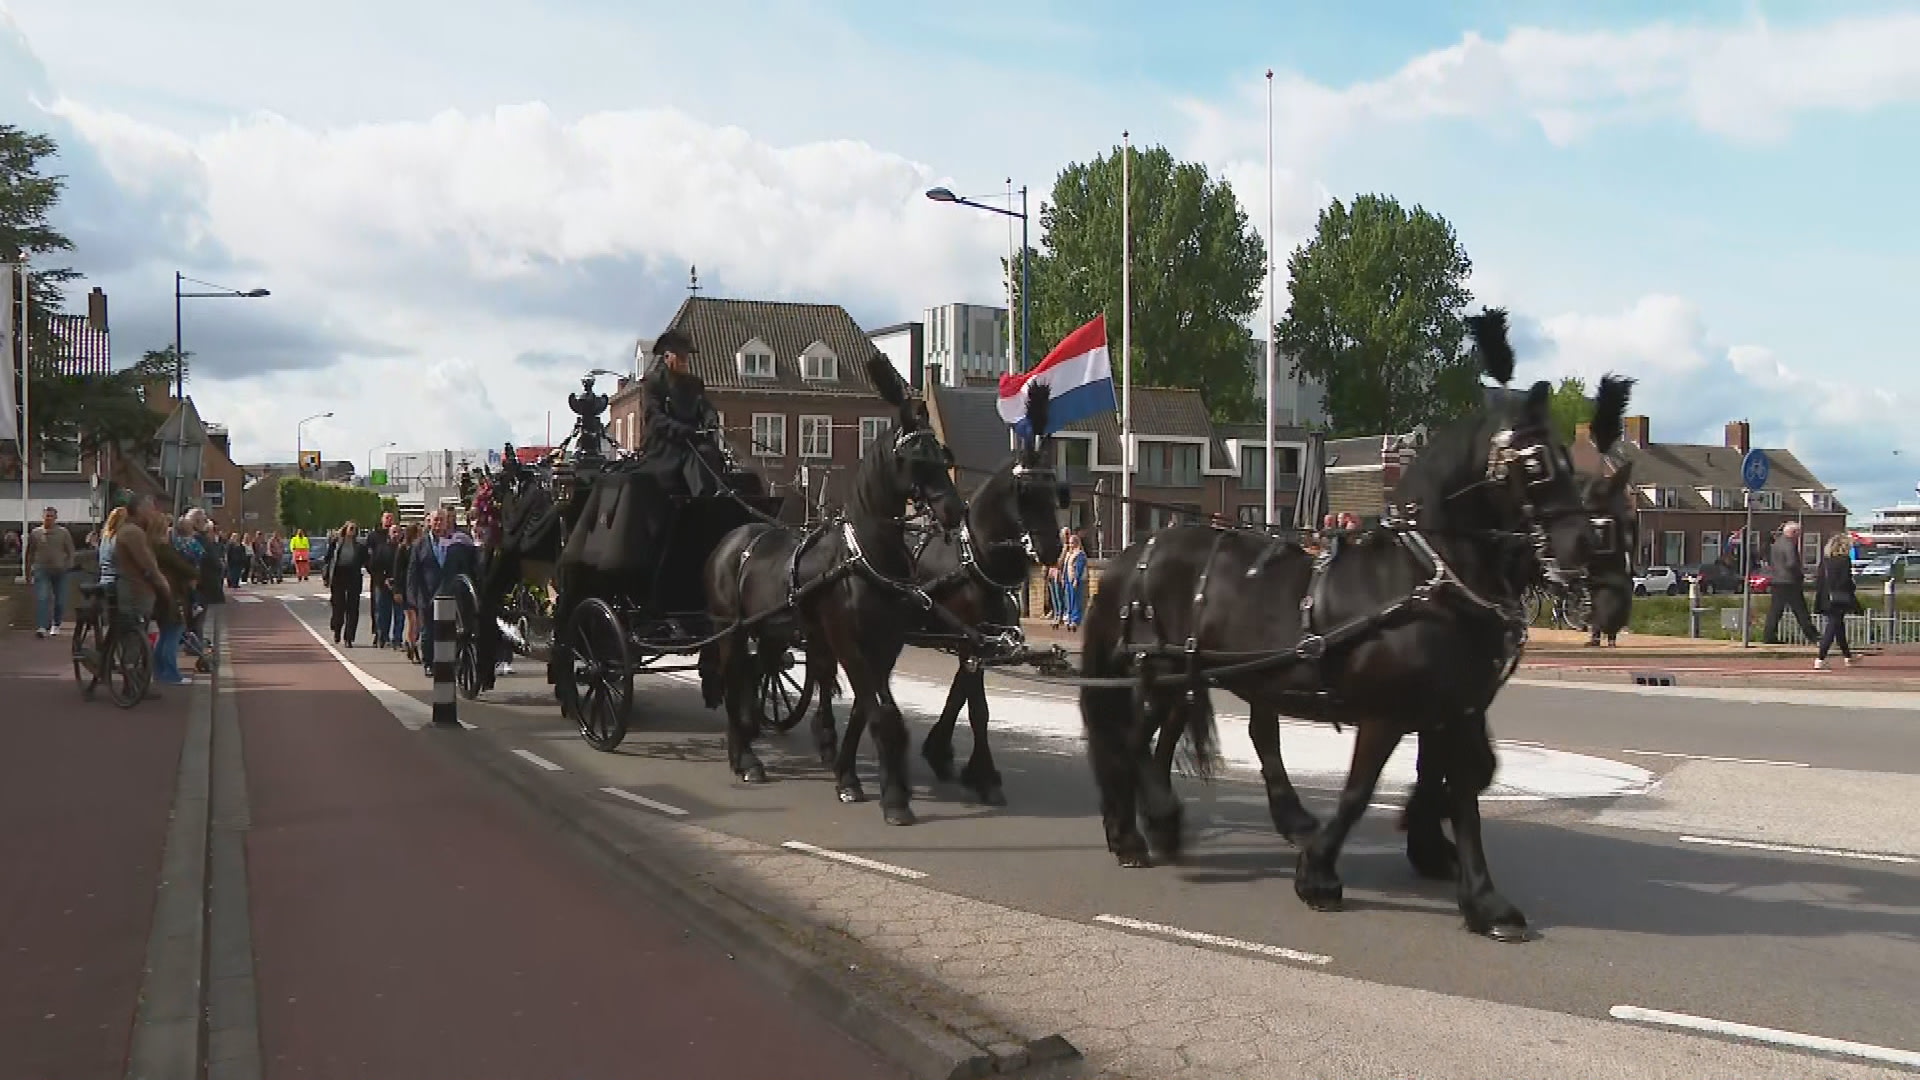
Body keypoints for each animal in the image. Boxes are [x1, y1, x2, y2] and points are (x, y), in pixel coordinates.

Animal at [702, 355, 967, 822]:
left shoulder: (885, 646)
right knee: (735, 681)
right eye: (915, 456)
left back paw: (747, 744)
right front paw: (893, 797)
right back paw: (745, 758)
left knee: (753, 676)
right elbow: (881, 714)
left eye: (943, 453)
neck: (866, 556)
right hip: (730, 629)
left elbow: (865, 711)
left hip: (771, 632)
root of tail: (731, 539)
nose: (954, 510)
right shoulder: (847, 641)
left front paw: (849, 776)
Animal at [791, 382, 1075, 803]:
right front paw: (983, 776)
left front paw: (943, 754)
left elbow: (960, 698)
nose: (1053, 549)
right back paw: (826, 735)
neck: (974, 560)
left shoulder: (977, 643)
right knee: (825, 671)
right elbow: (977, 709)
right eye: (1024, 491)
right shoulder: (970, 643)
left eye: (1054, 490)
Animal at [1082, 307, 1605, 937]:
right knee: (1132, 742)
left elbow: (1466, 790)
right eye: (1534, 463)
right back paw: (1140, 831)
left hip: (1189, 674)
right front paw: (1319, 874)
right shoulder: (1387, 714)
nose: (1586, 547)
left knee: (1158, 743)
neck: (1423, 577)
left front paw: (1482, 899)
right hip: (1160, 670)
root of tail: (1138, 549)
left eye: (1567, 458)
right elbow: (1360, 791)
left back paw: (1153, 827)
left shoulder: (1454, 711)